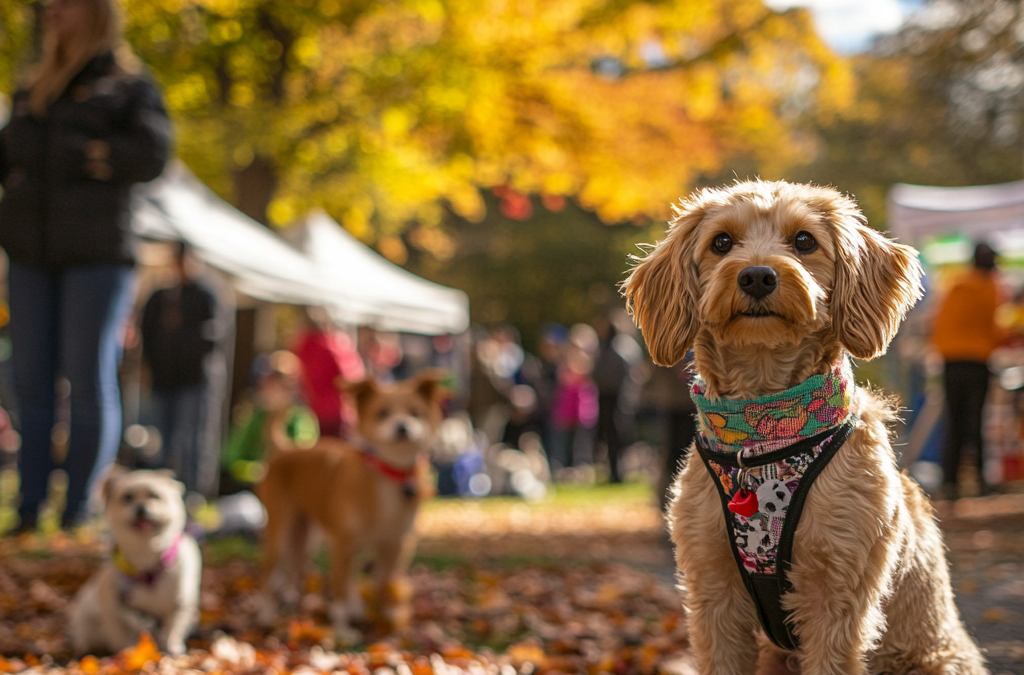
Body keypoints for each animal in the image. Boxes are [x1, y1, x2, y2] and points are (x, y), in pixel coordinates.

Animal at [68, 469, 201, 655]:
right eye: (127, 497)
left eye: (155, 496)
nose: (141, 507)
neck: (145, 557)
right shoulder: (112, 603)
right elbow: (120, 633)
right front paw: (126, 652)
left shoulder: (180, 603)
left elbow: (173, 629)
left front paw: (171, 648)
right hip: (86, 616)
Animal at [256, 372, 440, 643]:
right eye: (383, 413)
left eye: (415, 413)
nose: (403, 426)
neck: (387, 475)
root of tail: (286, 449)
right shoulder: (343, 543)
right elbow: (341, 588)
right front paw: (343, 631)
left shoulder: (397, 544)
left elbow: (384, 582)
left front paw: (388, 617)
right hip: (281, 533)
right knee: (270, 575)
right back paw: (266, 616)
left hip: (305, 538)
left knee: (295, 573)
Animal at [618, 181, 987, 675]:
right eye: (721, 242)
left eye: (804, 241)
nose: (757, 276)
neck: (761, 437)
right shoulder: (712, 588)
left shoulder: (838, 590)